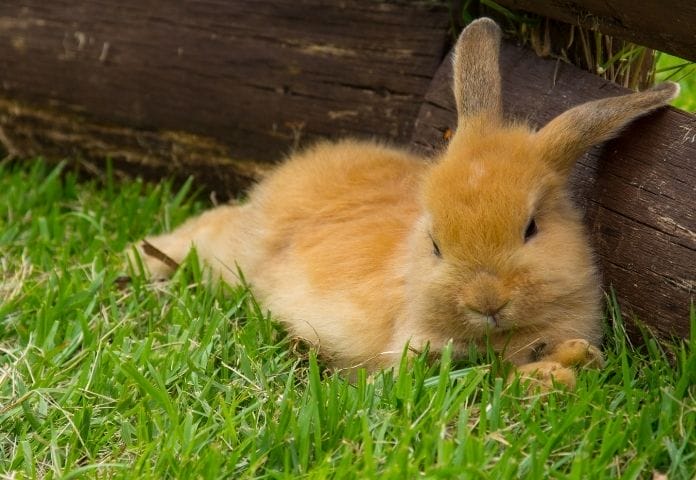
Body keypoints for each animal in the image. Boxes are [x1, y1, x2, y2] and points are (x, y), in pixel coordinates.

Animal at [130, 18, 679, 388]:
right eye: (435, 244)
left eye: (531, 229)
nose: (486, 301)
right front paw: (547, 377)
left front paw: (573, 361)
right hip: (230, 255)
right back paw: (138, 261)